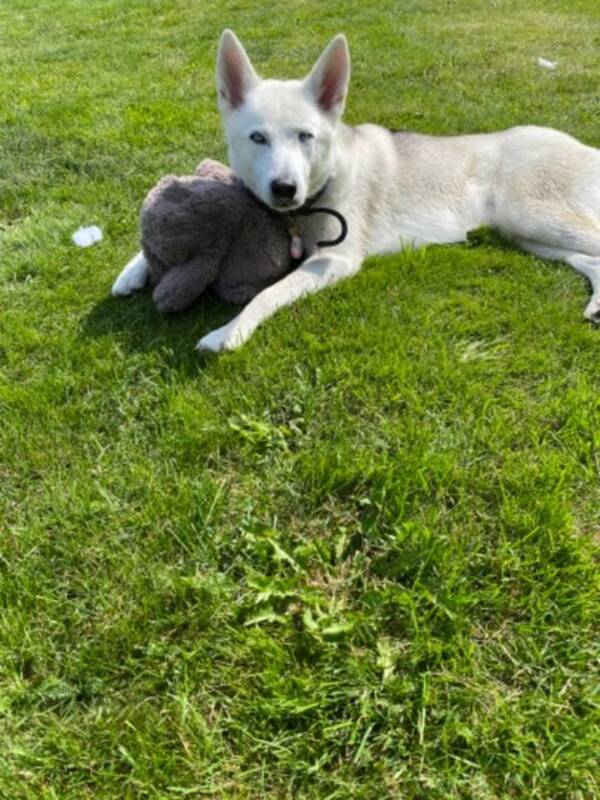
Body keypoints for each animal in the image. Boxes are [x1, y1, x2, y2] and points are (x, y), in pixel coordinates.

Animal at [112, 31, 600, 350]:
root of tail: (583, 146)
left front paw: (226, 333)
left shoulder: (333, 261)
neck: (308, 203)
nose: (284, 189)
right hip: (527, 235)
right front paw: (132, 270)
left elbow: (267, 293)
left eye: (305, 136)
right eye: (257, 138)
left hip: (529, 216)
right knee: (589, 260)